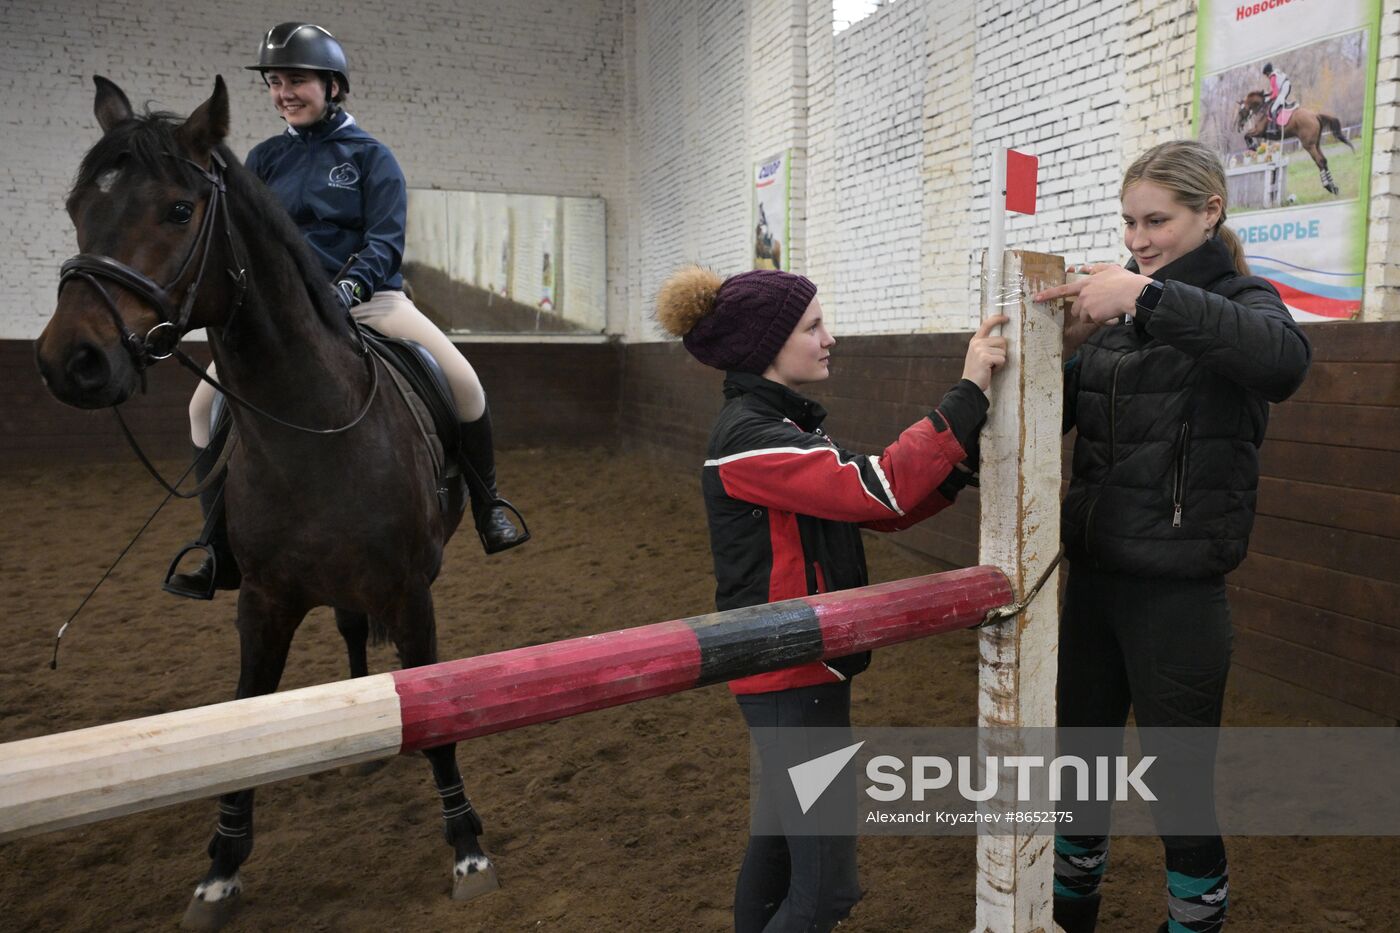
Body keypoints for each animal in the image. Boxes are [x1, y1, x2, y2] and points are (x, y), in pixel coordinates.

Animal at [32, 76, 501, 924]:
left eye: (178, 209)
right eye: (78, 205)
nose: (70, 361)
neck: (310, 428)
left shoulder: (411, 592)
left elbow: (439, 719)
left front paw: (469, 850)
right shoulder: (263, 598)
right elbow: (243, 717)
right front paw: (220, 869)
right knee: (350, 632)